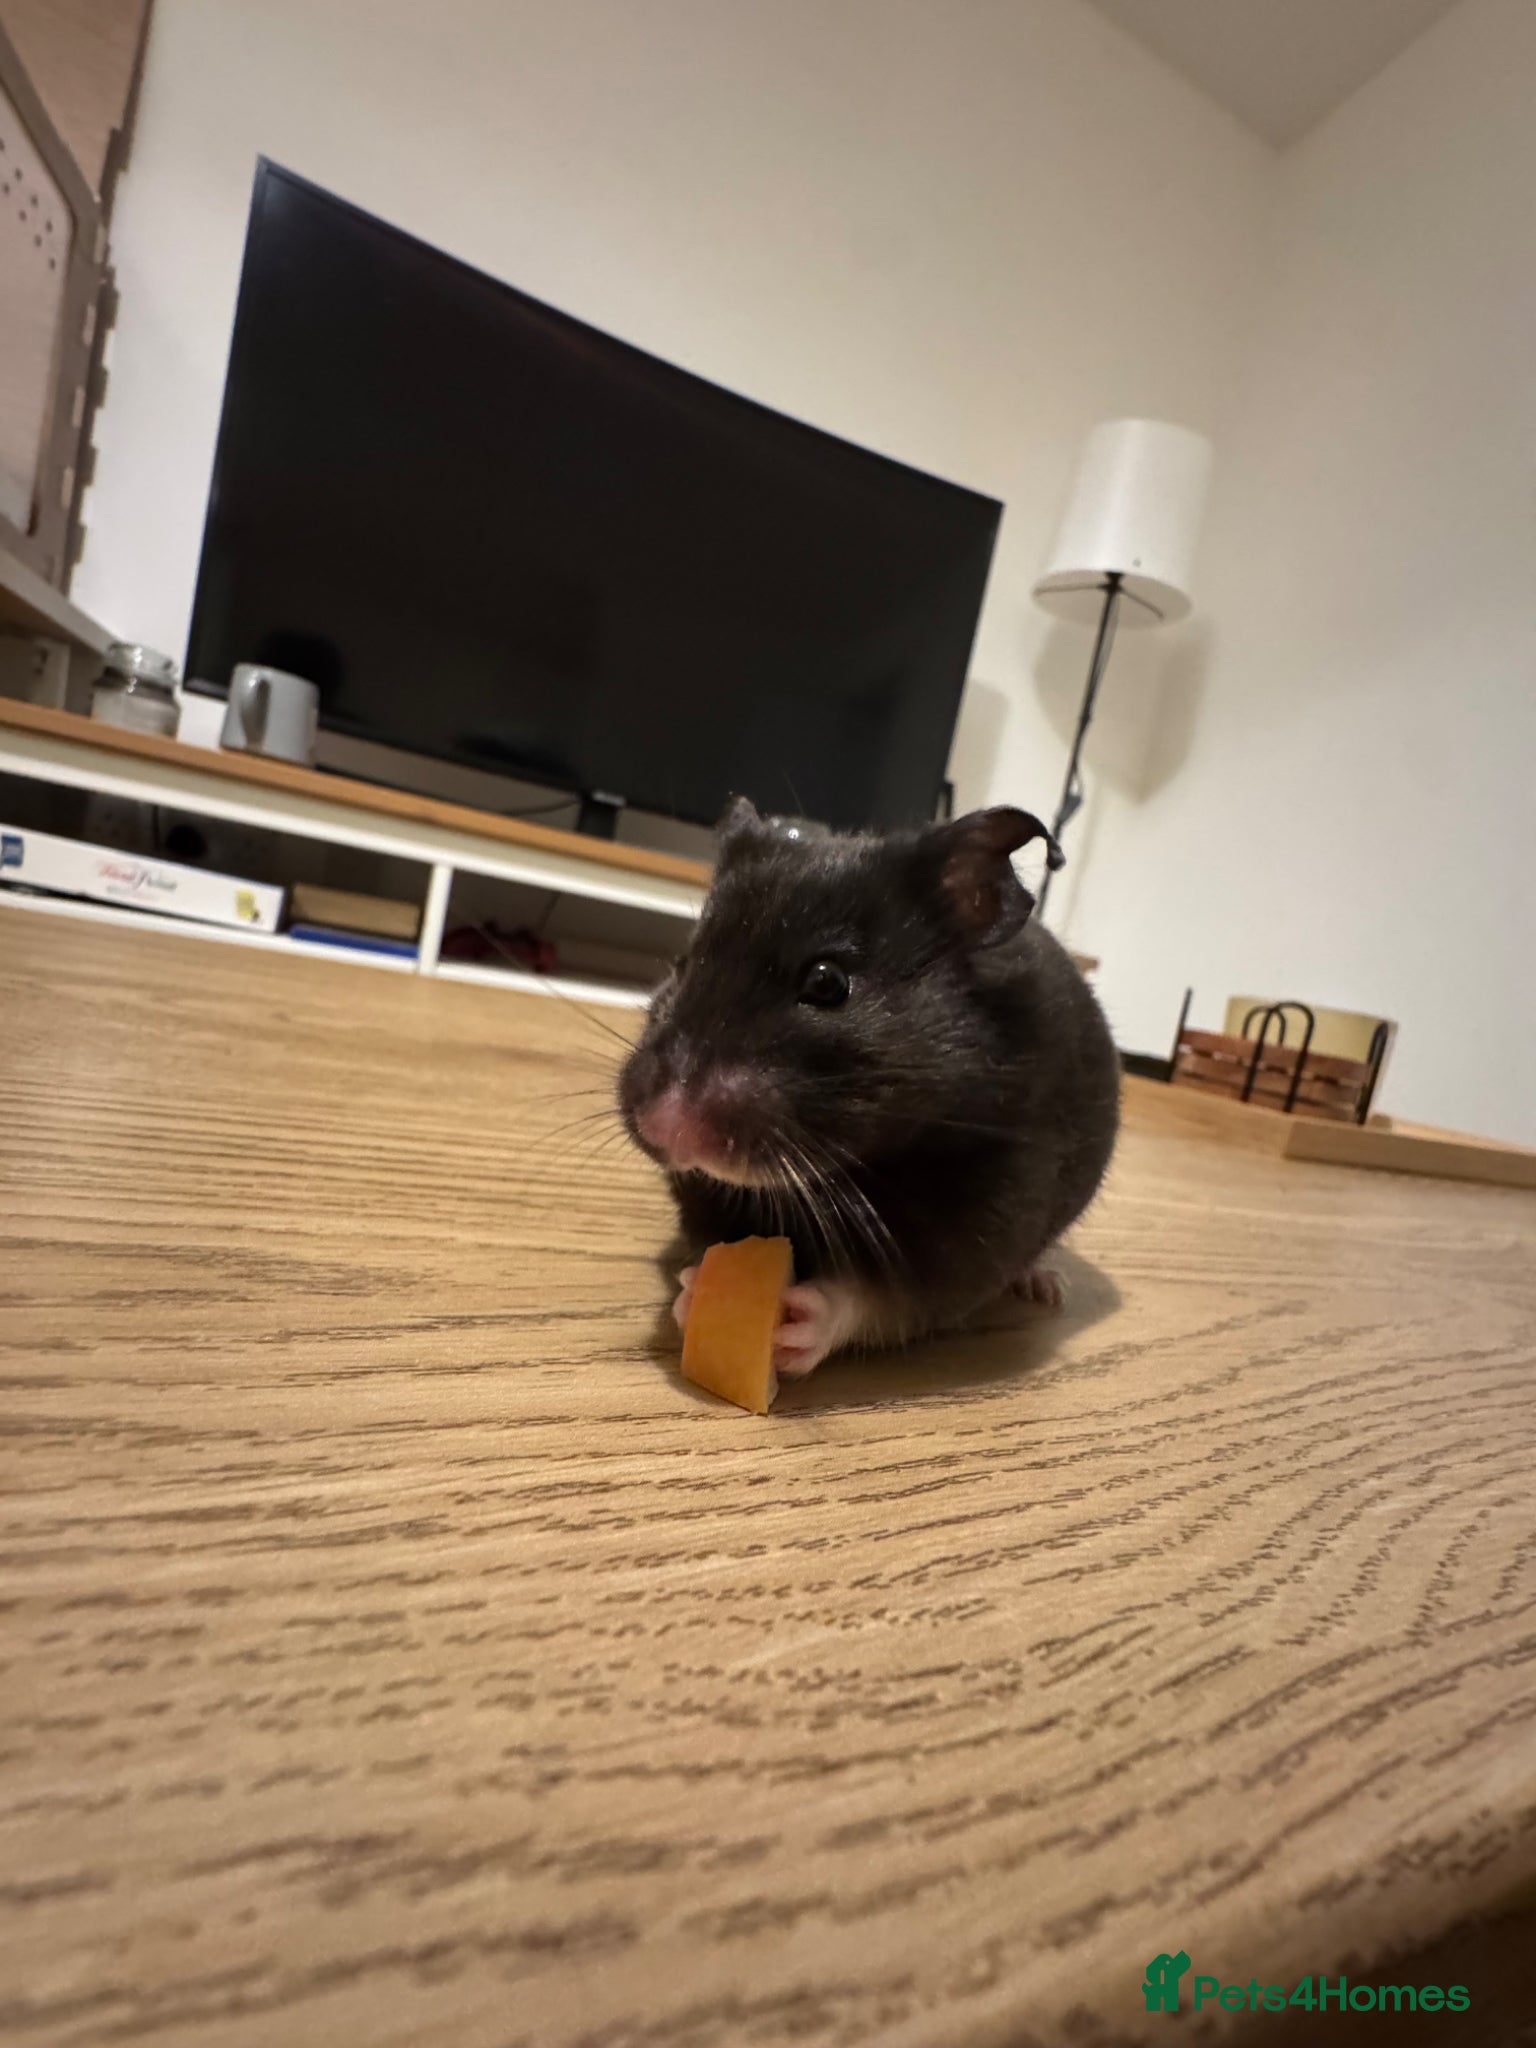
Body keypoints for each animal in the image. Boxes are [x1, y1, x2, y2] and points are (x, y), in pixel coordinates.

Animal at [617, 797, 1120, 1378]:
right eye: (682, 965)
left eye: (827, 982)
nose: (664, 1126)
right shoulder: (704, 1194)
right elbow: (709, 1246)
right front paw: (692, 1294)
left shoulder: (982, 1222)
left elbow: (882, 1299)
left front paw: (800, 1321)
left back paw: (1046, 1287)